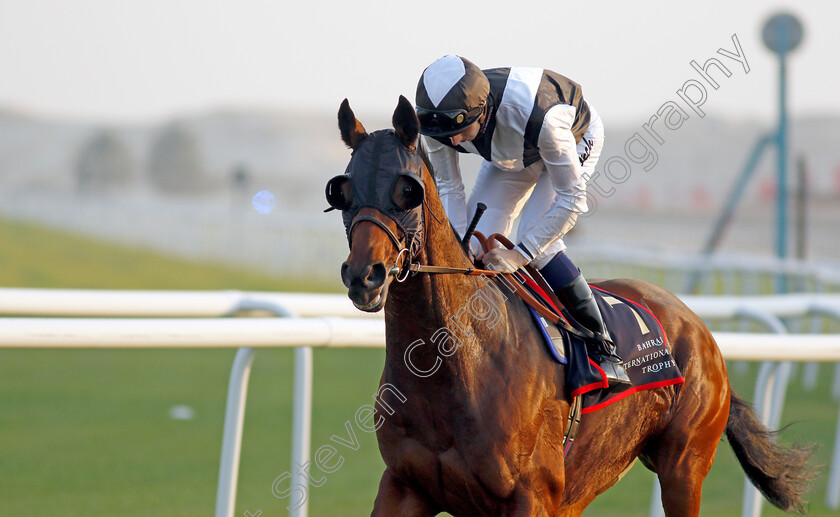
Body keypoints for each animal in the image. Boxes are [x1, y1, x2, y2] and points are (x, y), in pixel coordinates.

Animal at [328, 94, 812, 512]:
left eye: (407, 191)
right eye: (342, 191)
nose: (364, 275)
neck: (457, 362)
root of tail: (700, 330)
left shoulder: (533, 494)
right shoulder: (404, 486)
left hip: (683, 468)